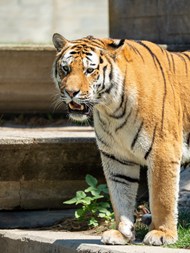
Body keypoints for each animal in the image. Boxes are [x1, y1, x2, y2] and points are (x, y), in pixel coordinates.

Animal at [52, 32, 190, 246]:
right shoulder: (116, 156)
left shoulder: (163, 151)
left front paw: (162, 233)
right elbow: (120, 195)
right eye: (66, 68)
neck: (110, 108)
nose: (71, 92)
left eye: (89, 70)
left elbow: (162, 197)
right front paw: (121, 233)